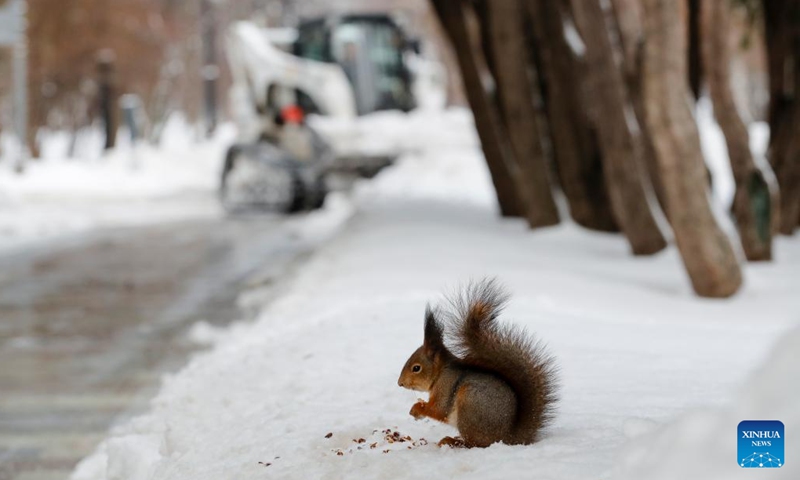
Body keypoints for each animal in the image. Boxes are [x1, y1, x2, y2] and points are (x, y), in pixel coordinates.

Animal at [396, 280, 560, 448]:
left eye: (416, 368)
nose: (400, 383)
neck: (440, 373)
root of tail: (507, 437)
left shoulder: (445, 386)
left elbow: (439, 410)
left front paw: (417, 408)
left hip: (469, 403)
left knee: (474, 443)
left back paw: (454, 441)